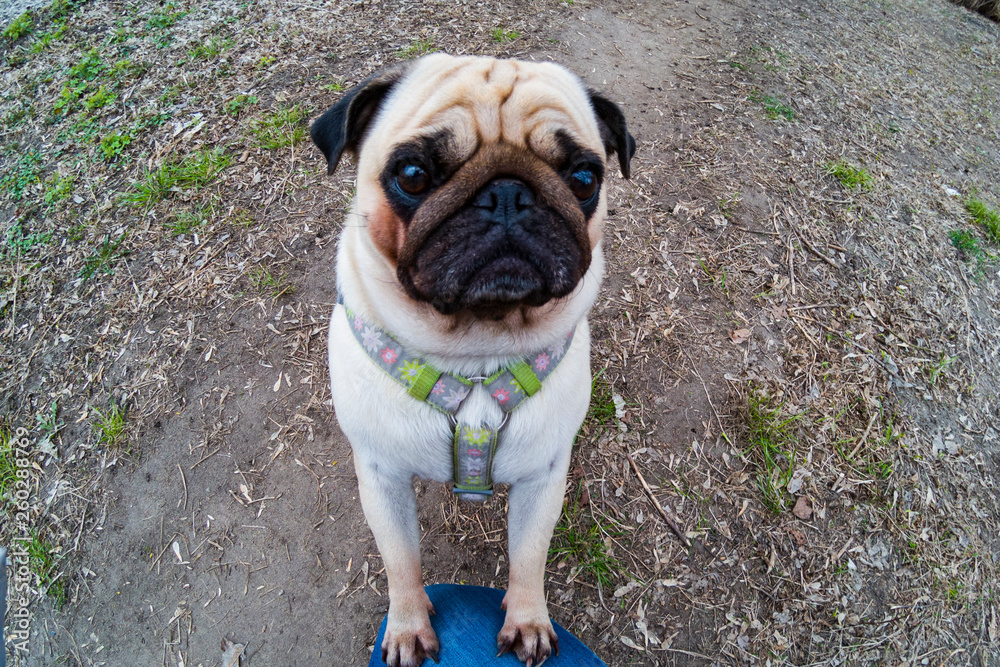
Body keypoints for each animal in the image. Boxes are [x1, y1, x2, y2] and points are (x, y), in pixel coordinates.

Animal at [308, 53, 632, 667]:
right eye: (412, 174)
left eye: (584, 178)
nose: (507, 195)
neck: (477, 353)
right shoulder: (381, 475)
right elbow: (400, 560)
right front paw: (407, 628)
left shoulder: (542, 476)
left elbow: (529, 554)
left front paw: (528, 620)